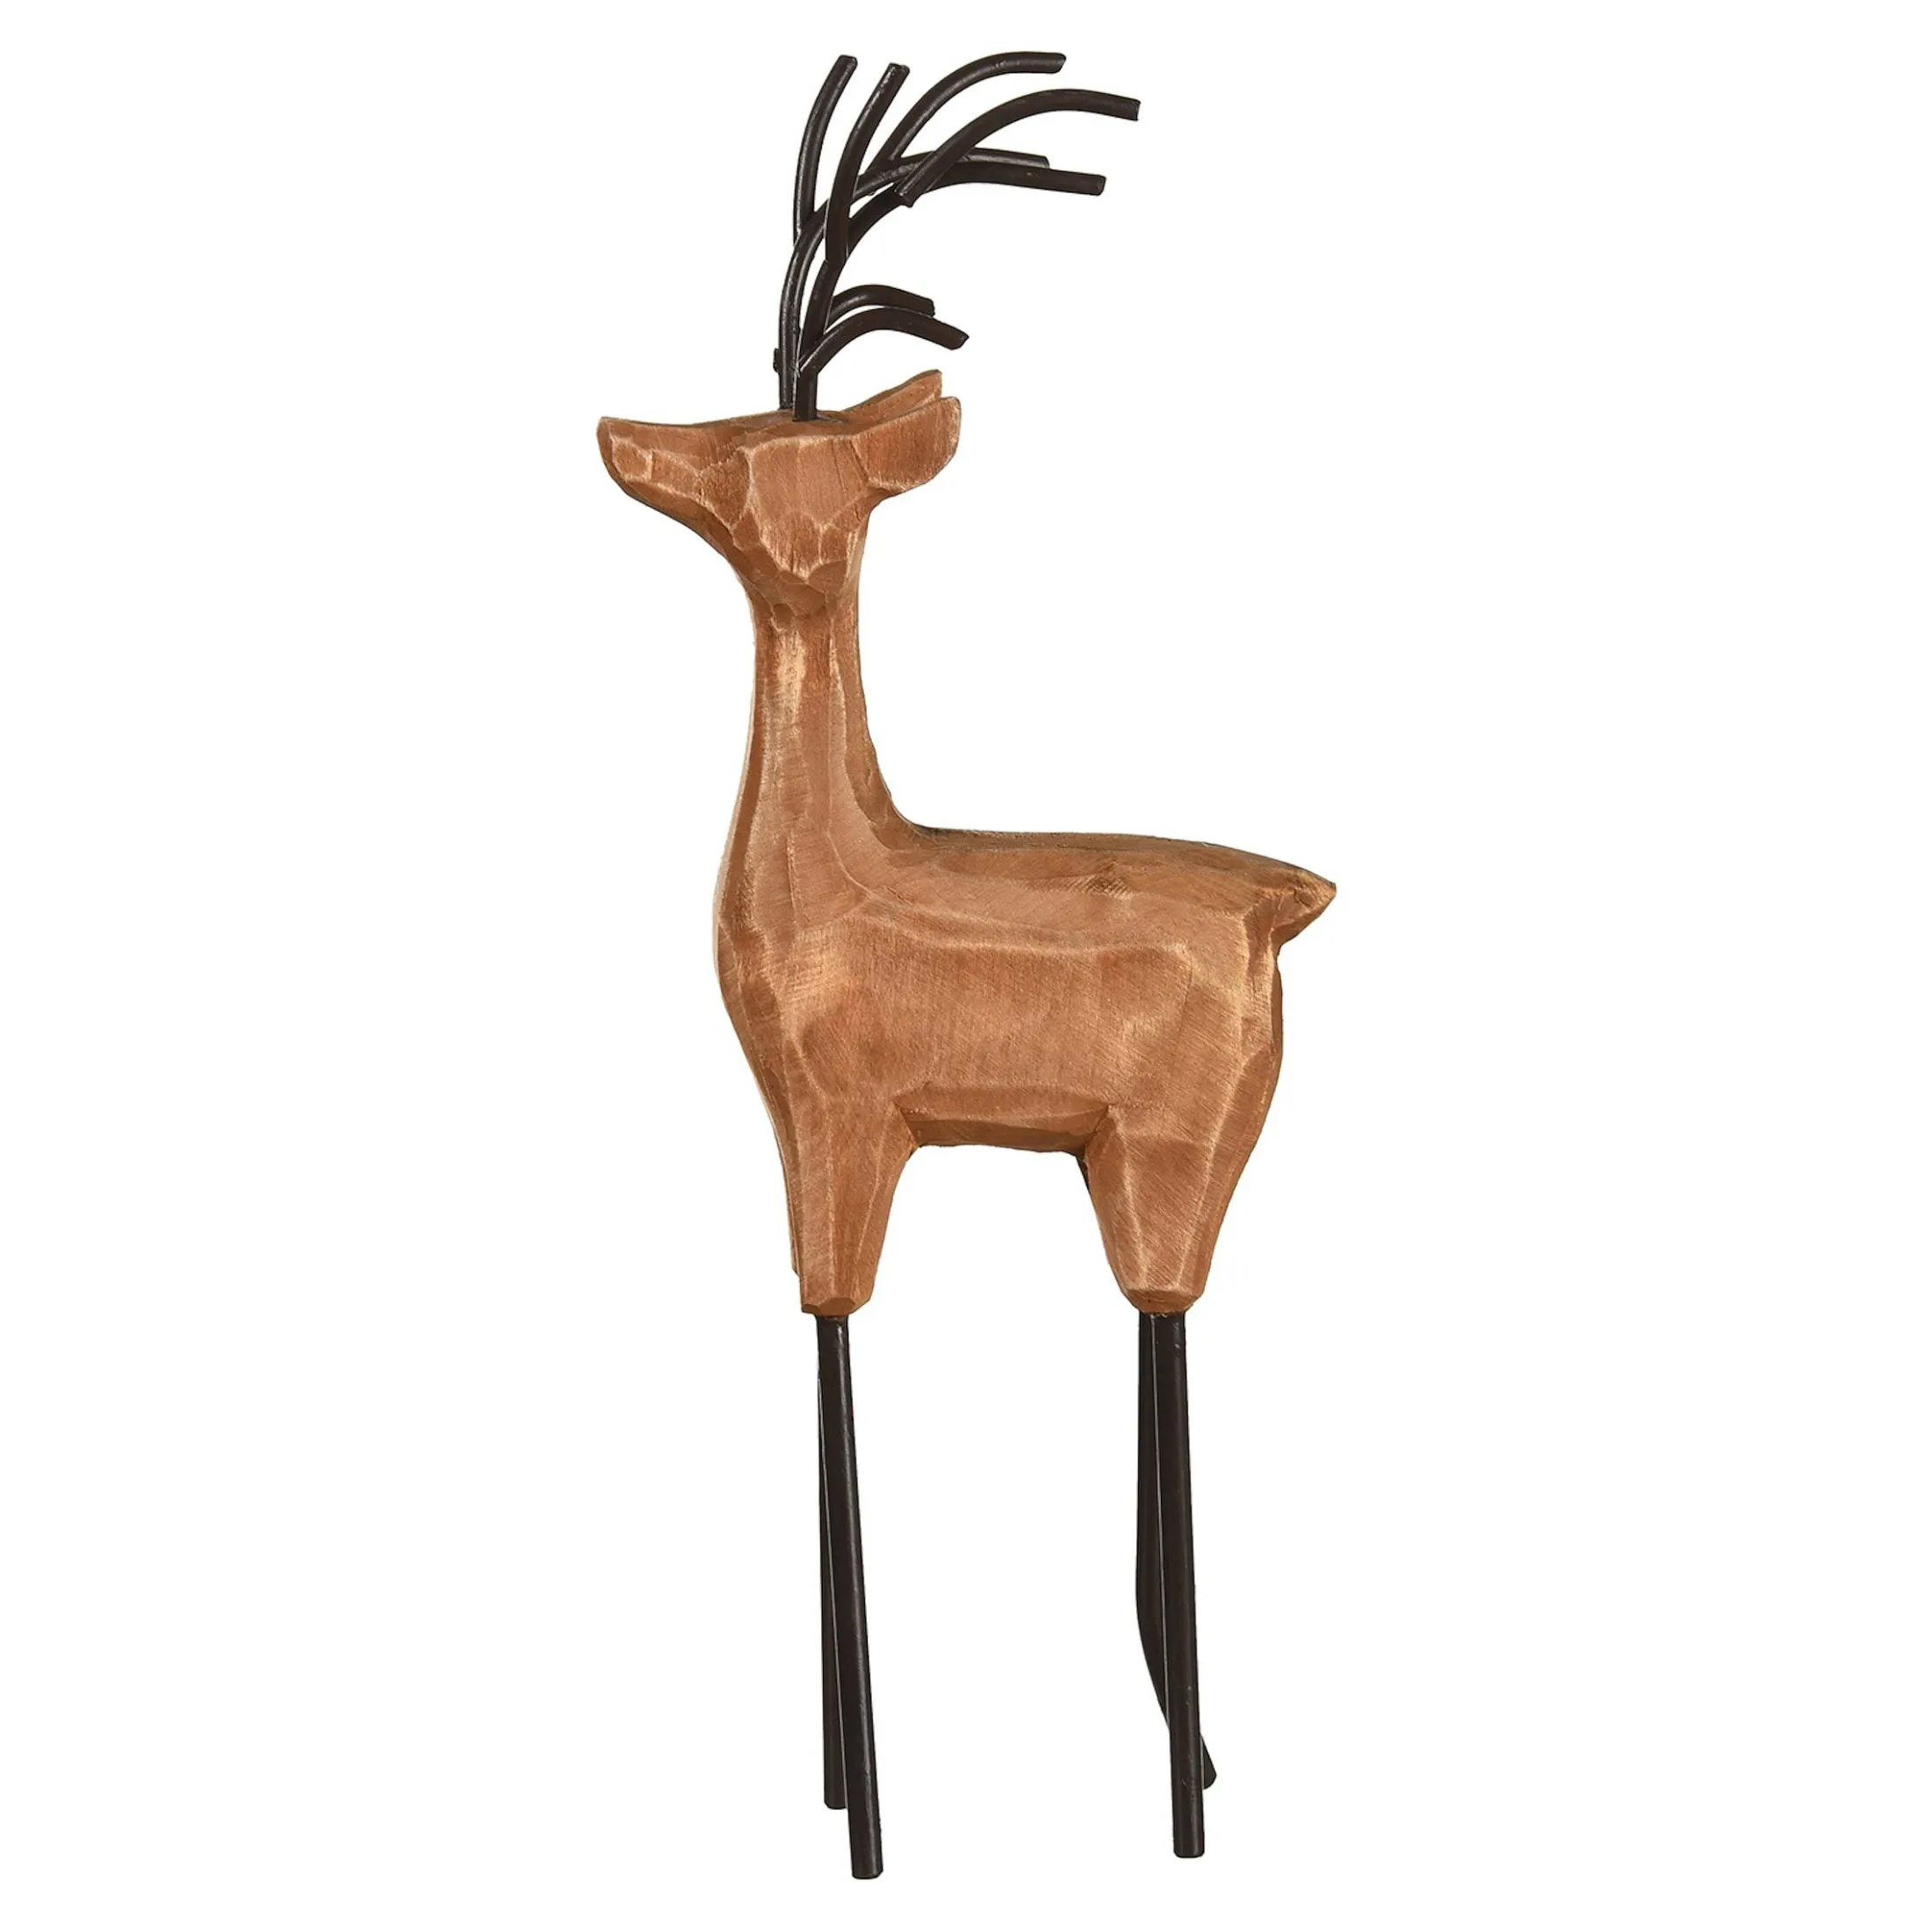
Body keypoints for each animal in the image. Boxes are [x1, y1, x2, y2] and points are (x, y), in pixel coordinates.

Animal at [597, 52, 1333, 1878]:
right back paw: (1196, 1767)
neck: (843, 869)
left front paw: (868, 1824)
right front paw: (834, 1787)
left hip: (1177, 1150)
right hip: (1133, 1161)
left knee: (1168, 1354)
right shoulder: (813, 1139)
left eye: (780, 463)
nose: (623, 441)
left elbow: (838, 1352)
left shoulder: (841, 1119)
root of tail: (1287, 901)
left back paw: (1185, 1810)